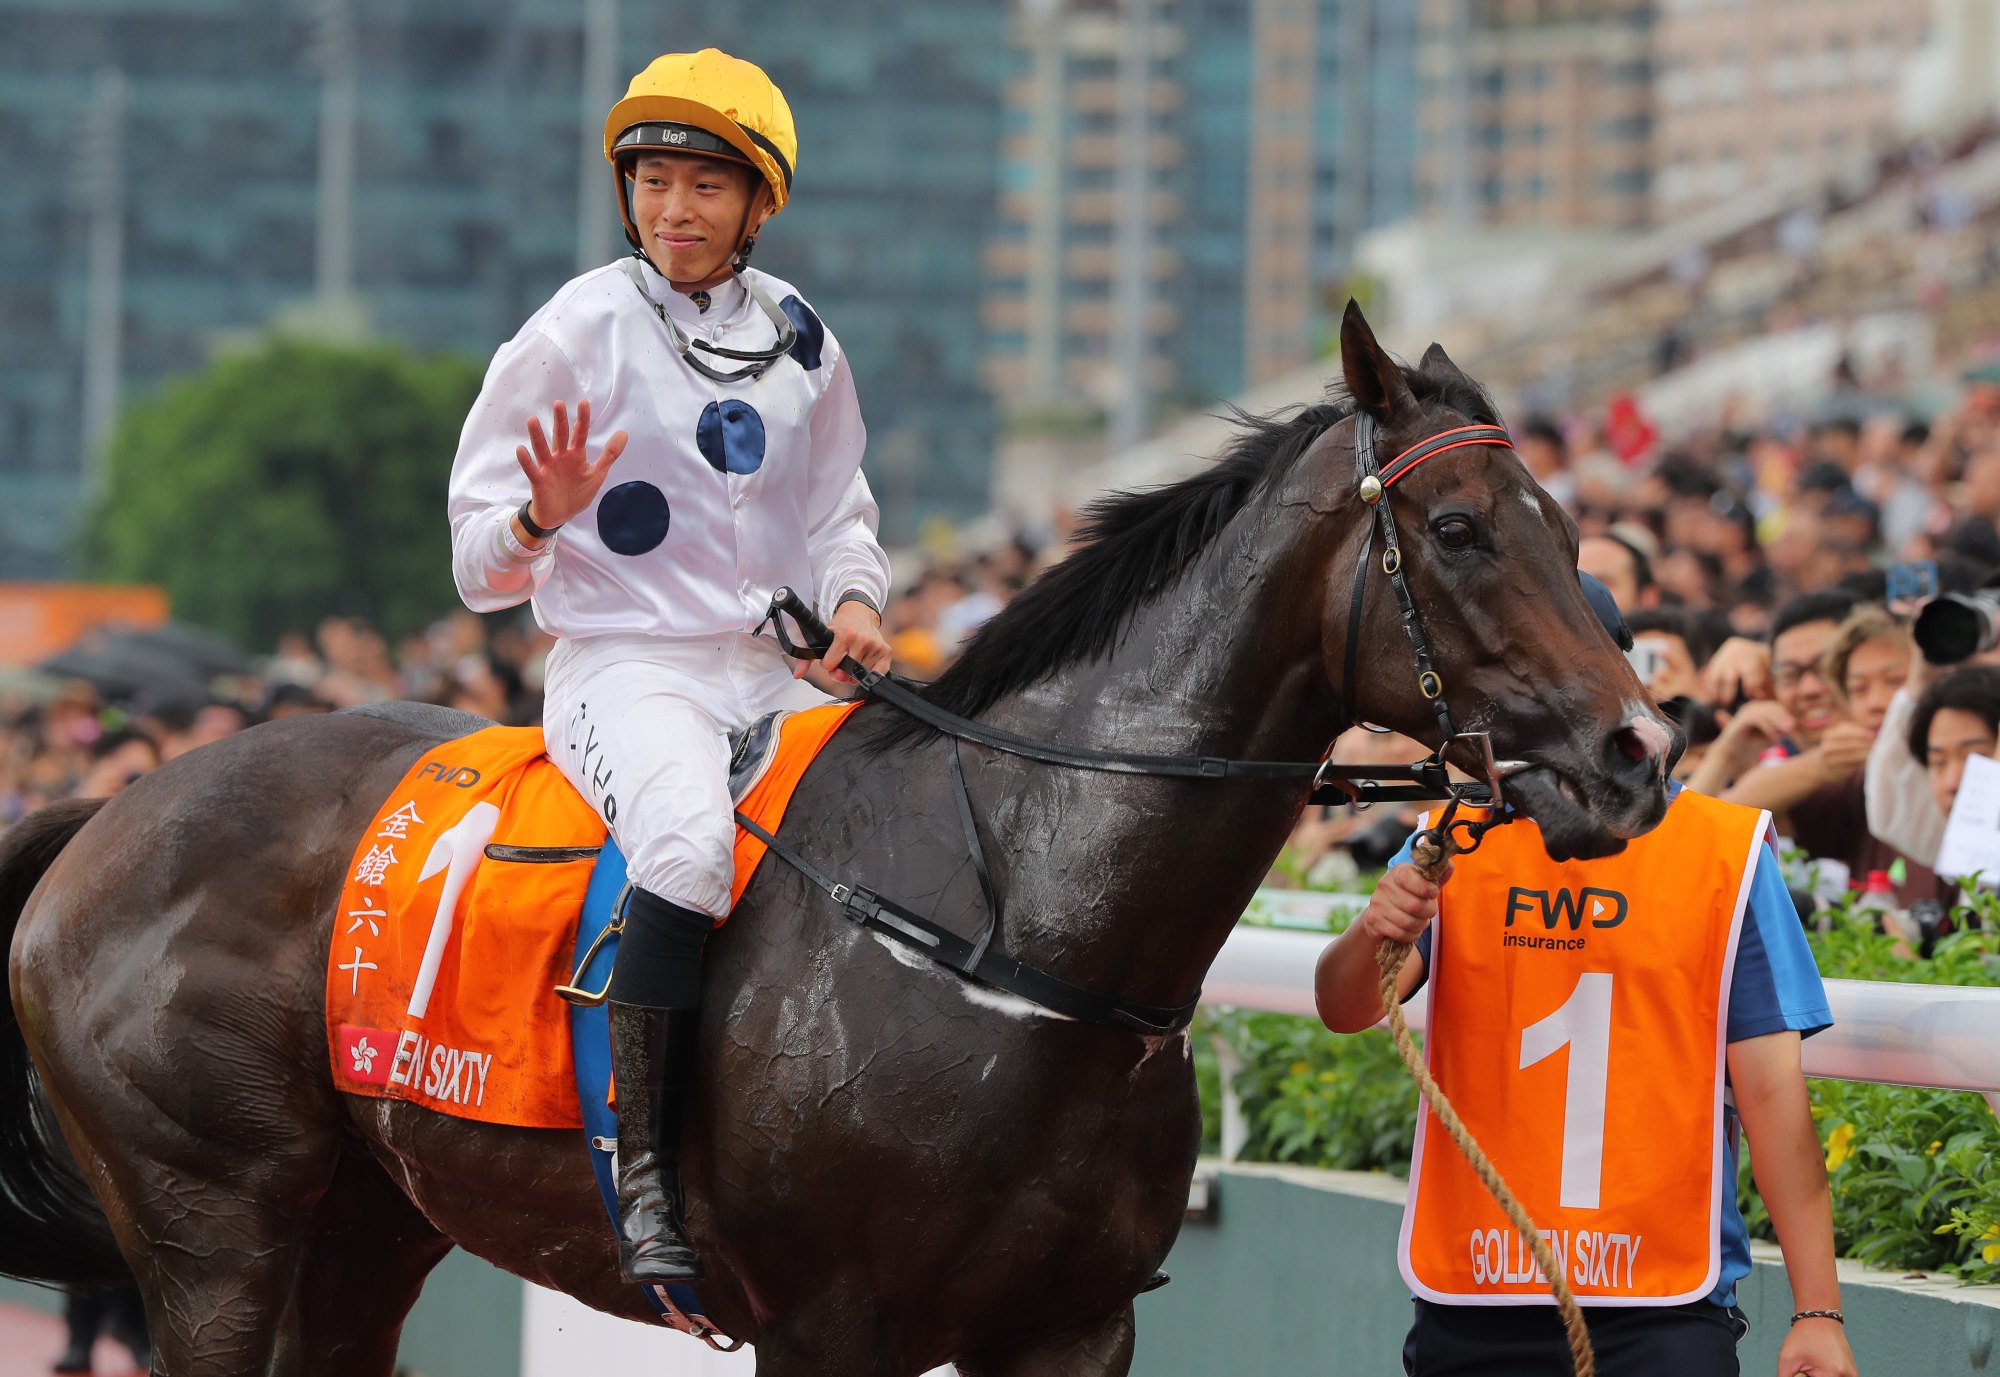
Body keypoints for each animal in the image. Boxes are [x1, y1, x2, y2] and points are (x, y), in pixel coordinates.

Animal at [3, 304, 1672, 1377]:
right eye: (1460, 529)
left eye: (1566, 525)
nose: (1637, 755)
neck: (1018, 929)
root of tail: (113, 814)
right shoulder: (828, 1327)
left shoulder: (1073, 1330)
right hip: (214, 1230)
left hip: (370, 1225)